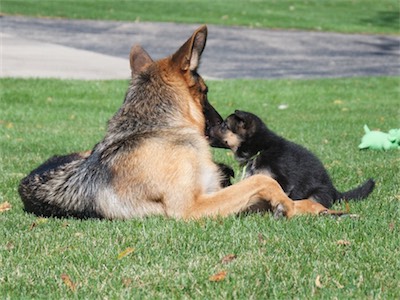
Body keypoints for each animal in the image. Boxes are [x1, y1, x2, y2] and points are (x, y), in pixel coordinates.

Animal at [212, 110, 376, 209]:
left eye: (225, 125)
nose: (208, 128)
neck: (260, 149)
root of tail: (335, 192)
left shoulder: (281, 181)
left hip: (317, 193)